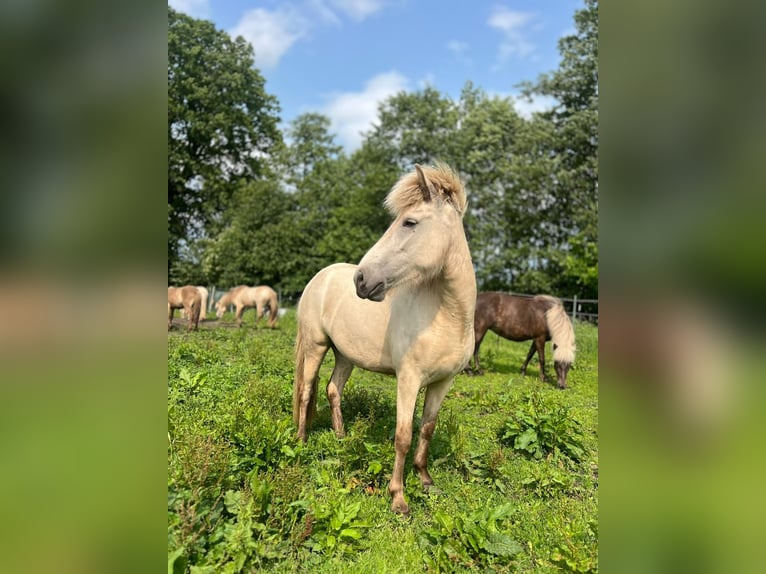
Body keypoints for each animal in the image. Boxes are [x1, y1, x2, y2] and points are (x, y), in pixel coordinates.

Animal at [293, 164, 476, 515]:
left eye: (410, 222)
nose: (362, 280)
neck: (447, 316)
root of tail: (321, 277)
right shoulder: (408, 379)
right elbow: (403, 435)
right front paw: (398, 497)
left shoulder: (443, 383)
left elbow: (427, 429)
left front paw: (426, 480)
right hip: (315, 347)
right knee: (307, 392)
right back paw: (301, 440)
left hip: (345, 356)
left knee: (333, 389)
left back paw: (341, 438)